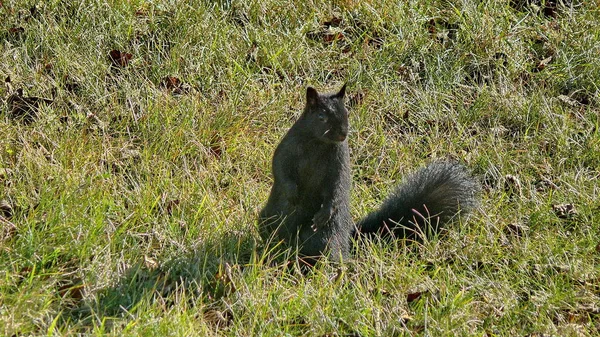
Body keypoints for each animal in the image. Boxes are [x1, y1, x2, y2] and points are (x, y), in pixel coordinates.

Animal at [258, 84, 478, 266]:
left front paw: (324, 212)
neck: (318, 142)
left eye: (347, 113)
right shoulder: (288, 146)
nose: (343, 134)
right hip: (269, 219)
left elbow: (337, 186)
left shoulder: (339, 161)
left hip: (327, 236)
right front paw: (292, 192)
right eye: (321, 116)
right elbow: (279, 168)